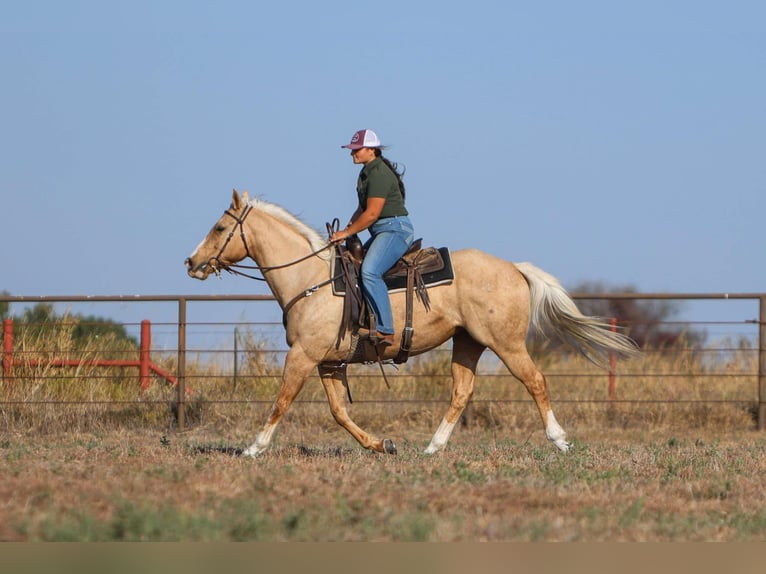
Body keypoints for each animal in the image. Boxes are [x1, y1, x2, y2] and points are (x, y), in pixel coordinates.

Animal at [183, 191, 640, 456]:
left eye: (220, 227)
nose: (191, 262)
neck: (310, 279)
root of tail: (513, 267)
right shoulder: (329, 362)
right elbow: (338, 411)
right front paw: (380, 444)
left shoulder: (303, 355)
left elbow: (281, 401)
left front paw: (253, 448)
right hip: (468, 343)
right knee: (461, 392)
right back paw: (432, 448)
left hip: (506, 344)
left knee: (536, 381)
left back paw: (559, 440)